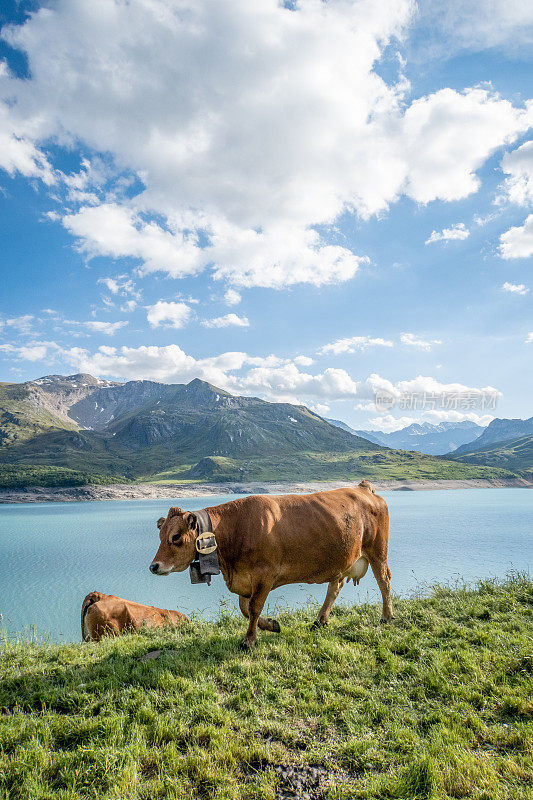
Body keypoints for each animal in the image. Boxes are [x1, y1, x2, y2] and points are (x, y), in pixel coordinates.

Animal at [150, 482, 390, 648]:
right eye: (160, 535)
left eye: (175, 537)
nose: (154, 566)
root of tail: (363, 488)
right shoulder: (246, 578)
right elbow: (245, 608)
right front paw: (271, 625)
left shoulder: (264, 575)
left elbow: (254, 608)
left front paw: (249, 640)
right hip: (340, 560)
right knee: (335, 587)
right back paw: (319, 621)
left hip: (378, 552)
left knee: (384, 580)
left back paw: (386, 617)